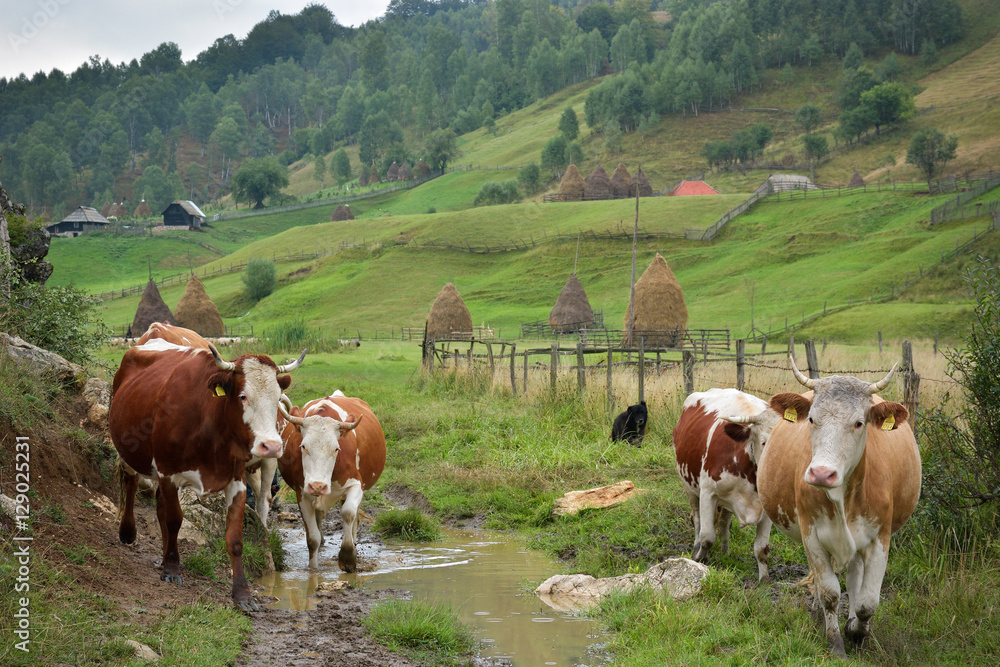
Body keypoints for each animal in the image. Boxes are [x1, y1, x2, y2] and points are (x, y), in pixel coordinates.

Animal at [278, 392, 386, 576]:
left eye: (336, 448)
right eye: (303, 446)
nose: (317, 485)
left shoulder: (356, 485)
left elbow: (348, 512)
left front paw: (348, 556)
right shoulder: (302, 494)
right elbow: (312, 539)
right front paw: (313, 569)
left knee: (353, 515)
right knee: (319, 517)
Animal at [672, 388, 780, 580]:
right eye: (764, 442)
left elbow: (762, 549)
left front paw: (764, 580)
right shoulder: (707, 493)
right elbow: (707, 537)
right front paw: (700, 558)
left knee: (723, 524)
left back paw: (725, 553)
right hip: (689, 486)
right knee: (697, 519)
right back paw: (697, 547)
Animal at [756, 360, 920, 656]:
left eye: (858, 423)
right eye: (811, 419)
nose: (822, 473)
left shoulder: (880, 539)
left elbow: (867, 601)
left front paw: (858, 631)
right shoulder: (812, 536)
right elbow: (830, 592)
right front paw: (835, 641)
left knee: (855, 578)